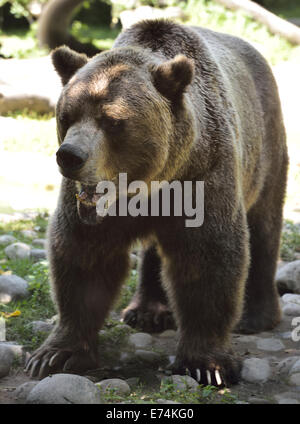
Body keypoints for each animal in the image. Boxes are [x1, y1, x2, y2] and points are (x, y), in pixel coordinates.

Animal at [25, 18, 288, 386]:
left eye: (112, 120)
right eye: (66, 115)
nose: (70, 156)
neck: (147, 185)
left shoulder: (203, 175)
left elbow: (208, 257)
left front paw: (207, 364)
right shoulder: (89, 206)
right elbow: (83, 258)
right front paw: (54, 354)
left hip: (265, 145)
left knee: (264, 225)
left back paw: (256, 317)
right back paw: (148, 311)